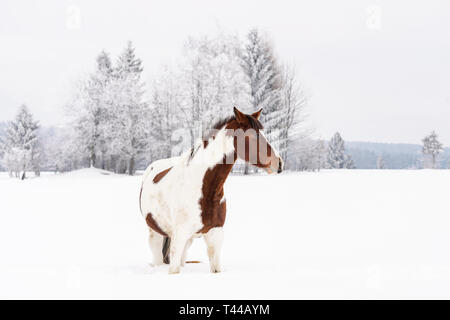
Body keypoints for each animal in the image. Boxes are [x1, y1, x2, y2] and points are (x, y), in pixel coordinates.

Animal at [139, 107, 284, 272]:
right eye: (251, 136)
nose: (279, 163)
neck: (203, 190)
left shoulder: (215, 234)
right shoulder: (180, 236)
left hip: (188, 240)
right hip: (155, 235)